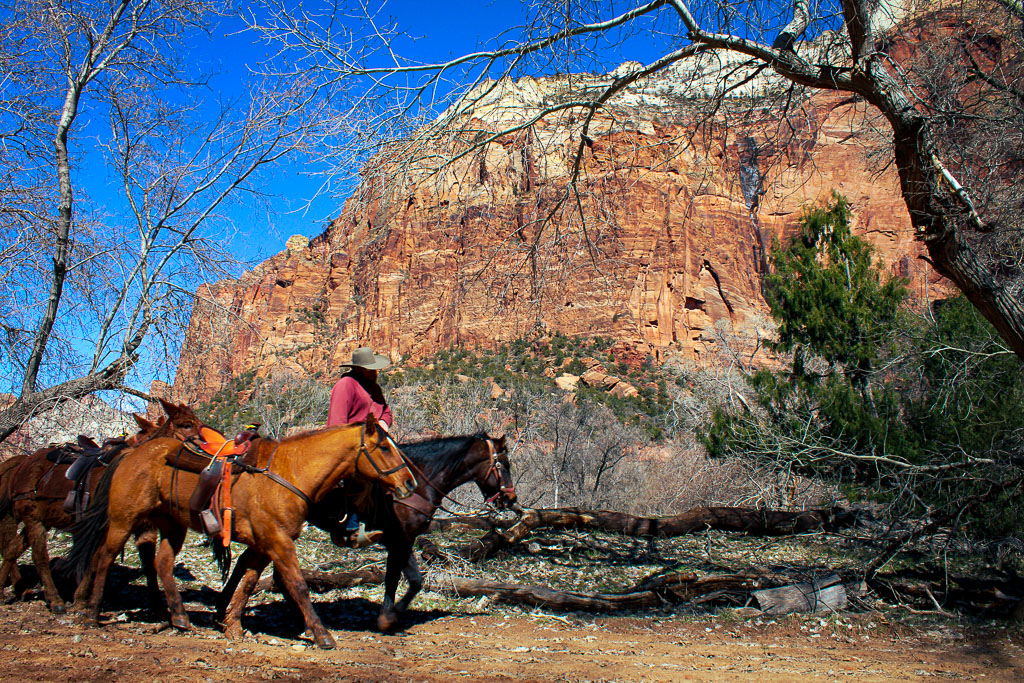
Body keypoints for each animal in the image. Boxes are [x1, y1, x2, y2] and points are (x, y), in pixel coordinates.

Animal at [0, 397, 205, 610]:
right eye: (186, 425)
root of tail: (23, 463)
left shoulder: (143, 527)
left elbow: (147, 561)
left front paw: (156, 602)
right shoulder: (103, 526)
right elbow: (95, 558)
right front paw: (82, 598)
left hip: (41, 518)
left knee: (12, 549)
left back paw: (11, 590)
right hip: (33, 519)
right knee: (39, 557)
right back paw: (55, 600)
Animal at [69, 413, 415, 651]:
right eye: (383, 447)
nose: (410, 483)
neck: (290, 473)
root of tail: (130, 453)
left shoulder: (262, 547)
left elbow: (247, 584)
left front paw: (232, 625)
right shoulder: (278, 543)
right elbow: (298, 586)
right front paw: (321, 634)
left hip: (172, 525)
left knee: (162, 563)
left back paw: (180, 618)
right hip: (122, 521)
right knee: (104, 558)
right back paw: (91, 613)